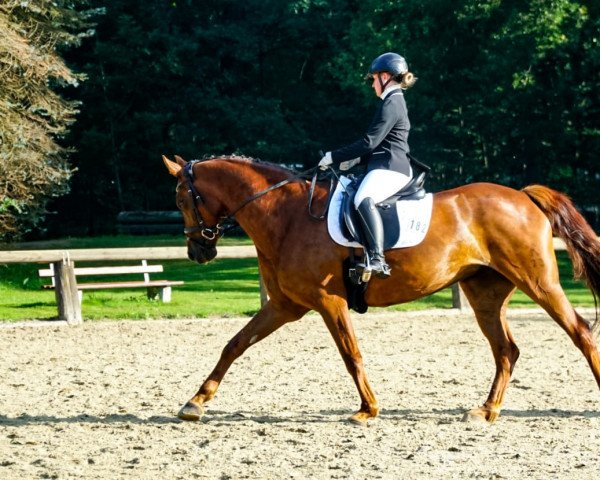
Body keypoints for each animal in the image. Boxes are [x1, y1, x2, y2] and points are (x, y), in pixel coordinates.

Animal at [163, 154, 600, 424]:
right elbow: (234, 344)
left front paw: (367, 409)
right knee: (507, 350)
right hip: (485, 294)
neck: (285, 216)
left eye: (182, 199)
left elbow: (351, 355)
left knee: (579, 332)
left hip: (540, 283)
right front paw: (195, 402)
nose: (198, 251)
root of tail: (523, 196)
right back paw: (485, 411)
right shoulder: (285, 305)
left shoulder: (328, 301)